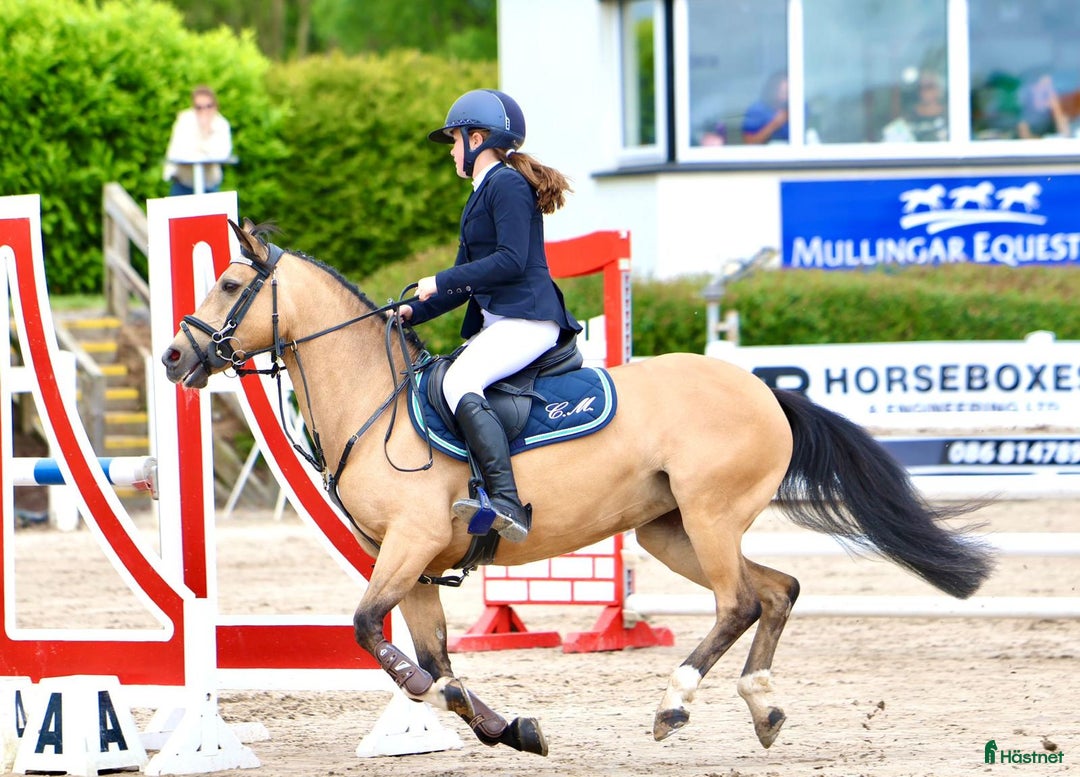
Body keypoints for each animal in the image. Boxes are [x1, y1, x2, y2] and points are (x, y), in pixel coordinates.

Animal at [161, 219, 994, 757]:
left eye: (230, 283)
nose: (174, 356)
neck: (378, 399)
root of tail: (763, 389)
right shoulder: (416, 563)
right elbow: (434, 659)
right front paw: (506, 726)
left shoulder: (411, 543)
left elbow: (372, 631)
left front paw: (449, 703)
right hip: (672, 529)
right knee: (778, 589)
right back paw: (762, 704)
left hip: (711, 516)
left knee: (741, 600)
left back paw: (675, 702)